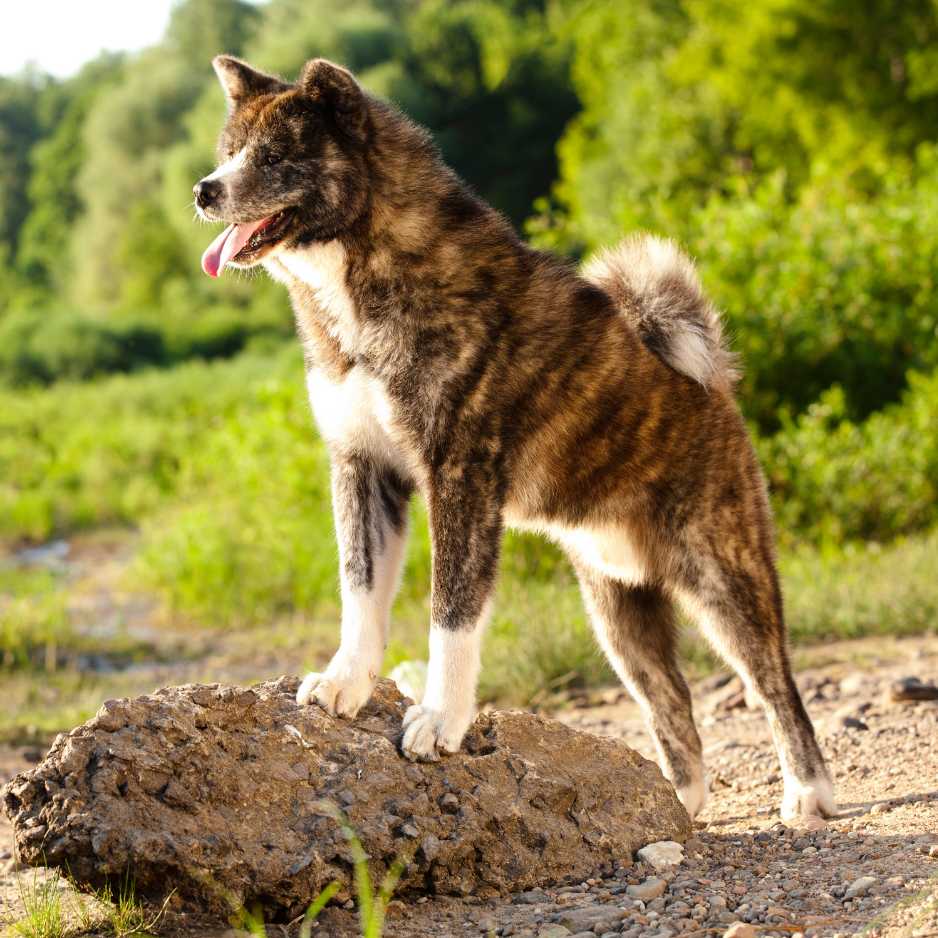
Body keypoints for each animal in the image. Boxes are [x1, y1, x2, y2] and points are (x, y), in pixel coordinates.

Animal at [192, 54, 832, 824]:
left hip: (723, 583)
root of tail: (714, 390)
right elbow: (359, 591)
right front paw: (348, 680)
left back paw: (807, 792)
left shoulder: (459, 480)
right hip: (617, 615)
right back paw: (676, 805)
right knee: (673, 706)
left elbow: (451, 615)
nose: (203, 189)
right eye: (230, 152)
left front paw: (440, 719)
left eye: (275, 157)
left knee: (777, 689)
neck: (365, 276)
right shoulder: (363, 468)